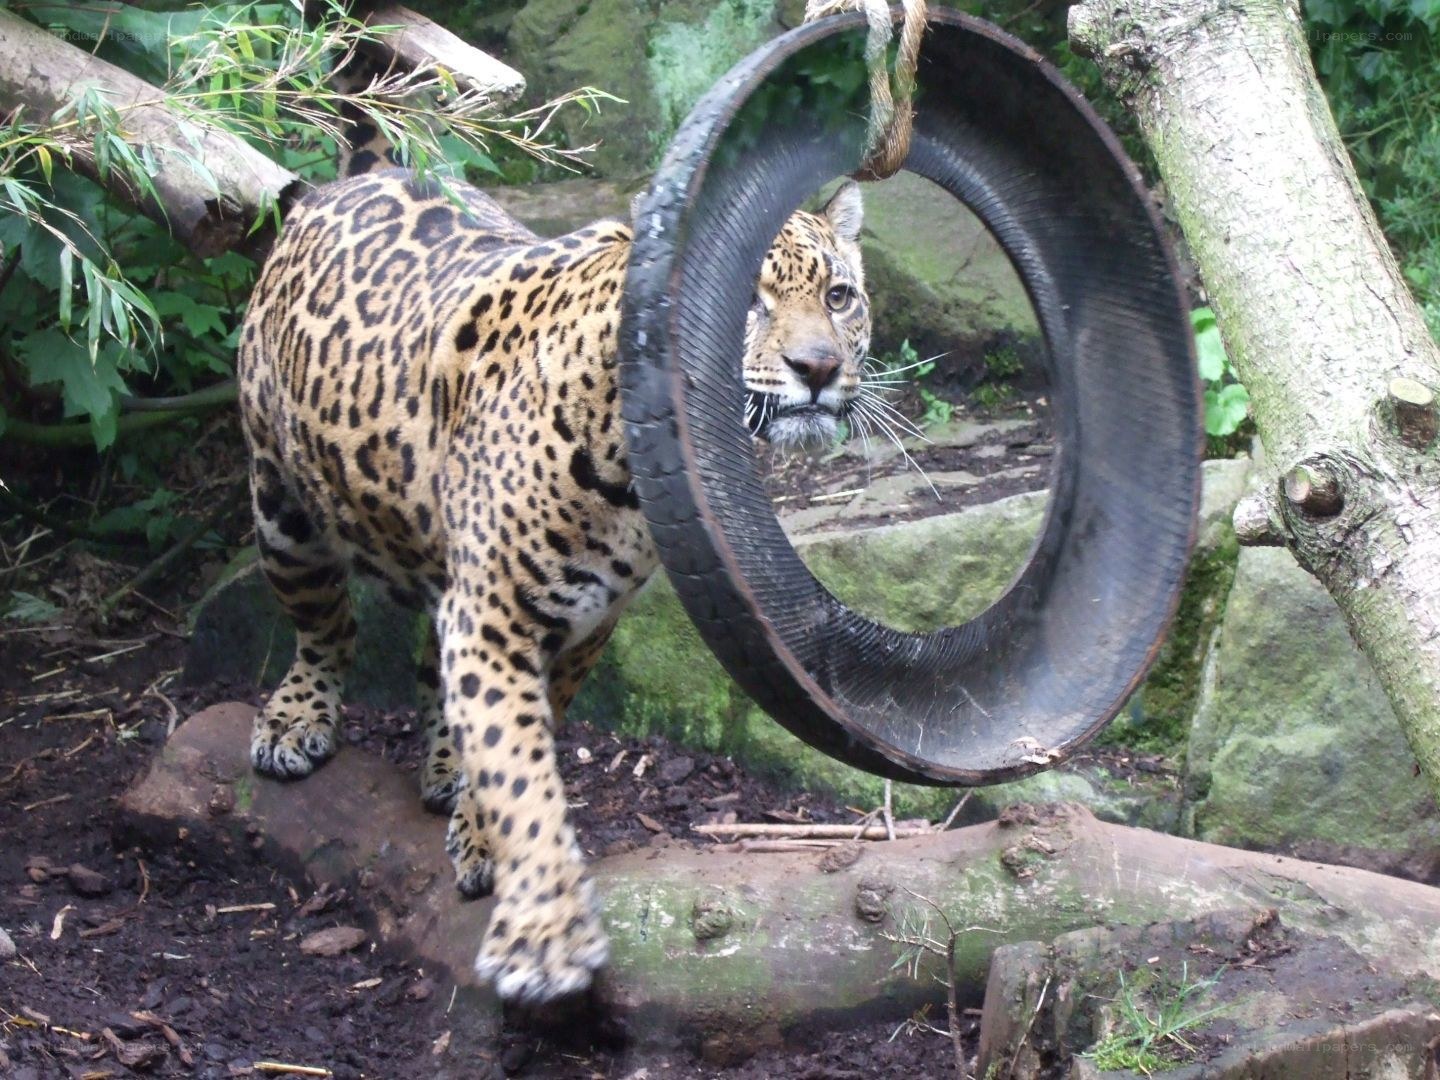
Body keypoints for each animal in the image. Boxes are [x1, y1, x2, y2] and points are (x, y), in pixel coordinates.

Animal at [236, 102, 872, 1004]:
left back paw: (439, 764)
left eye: (839, 295)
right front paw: (543, 930)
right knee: (324, 625)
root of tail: (363, 172)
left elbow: (520, 737)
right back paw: (296, 720)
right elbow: (517, 764)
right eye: (746, 298)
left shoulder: (585, 619)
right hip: (282, 504)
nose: (818, 367)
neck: (624, 468)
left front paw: (478, 829)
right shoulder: (496, 611)